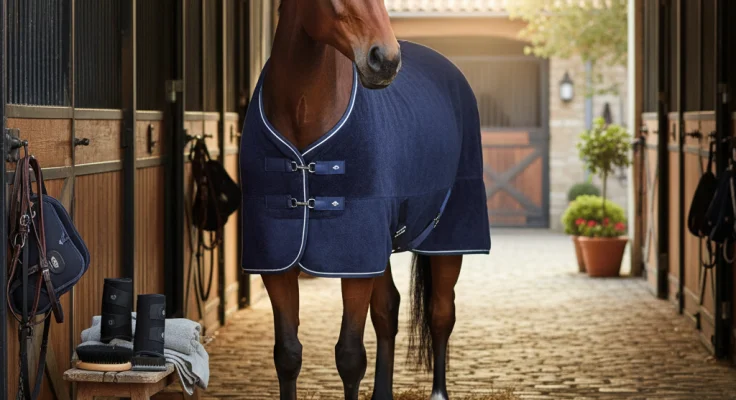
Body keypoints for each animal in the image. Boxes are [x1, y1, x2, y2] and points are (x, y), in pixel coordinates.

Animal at [238, 1, 491, 399]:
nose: (385, 60)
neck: (303, 116)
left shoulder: (354, 260)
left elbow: (350, 356)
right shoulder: (276, 259)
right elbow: (288, 354)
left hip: (449, 235)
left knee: (441, 312)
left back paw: (438, 392)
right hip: (379, 247)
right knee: (389, 311)